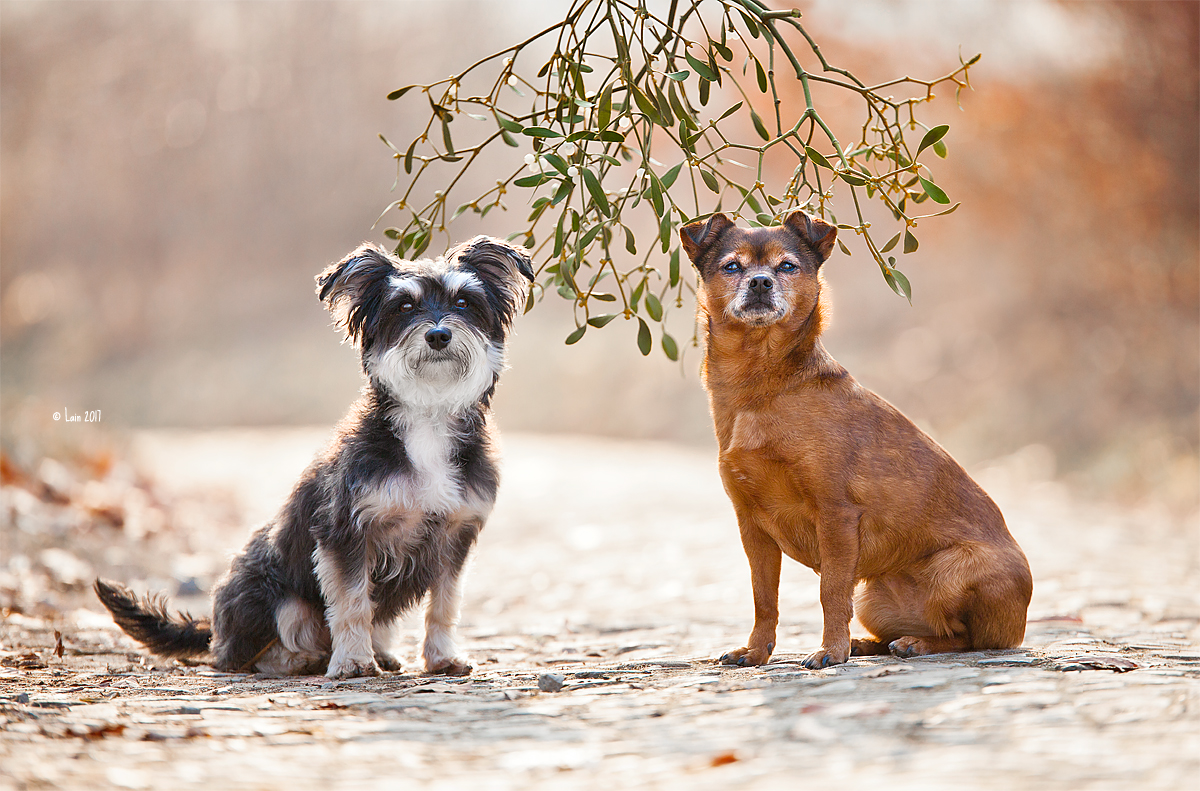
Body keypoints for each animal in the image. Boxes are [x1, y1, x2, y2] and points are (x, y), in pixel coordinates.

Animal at [96, 236, 537, 681]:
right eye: (403, 307)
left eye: (464, 301)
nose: (439, 335)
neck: (428, 417)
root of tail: (214, 630)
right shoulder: (345, 535)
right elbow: (352, 603)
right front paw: (354, 661)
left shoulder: (455, 538)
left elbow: (444, 605)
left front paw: (442, 657)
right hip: (271, 595)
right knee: (252, 650)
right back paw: (302, 659)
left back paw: (381, 653)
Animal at [681, 210, 1036, 667]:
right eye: (731, 267)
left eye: (787, 266)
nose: (760, 282)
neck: (760, 383)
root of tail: (1019, 626)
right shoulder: (752, 528)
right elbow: (764, 597)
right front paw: (757, 650)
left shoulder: (835, 515)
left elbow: (830, 592)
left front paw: (830, 651)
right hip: (874, 596)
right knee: (907, 630)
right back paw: (869, 643)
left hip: (954, 571)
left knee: (966, 638)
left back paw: (914, 645)